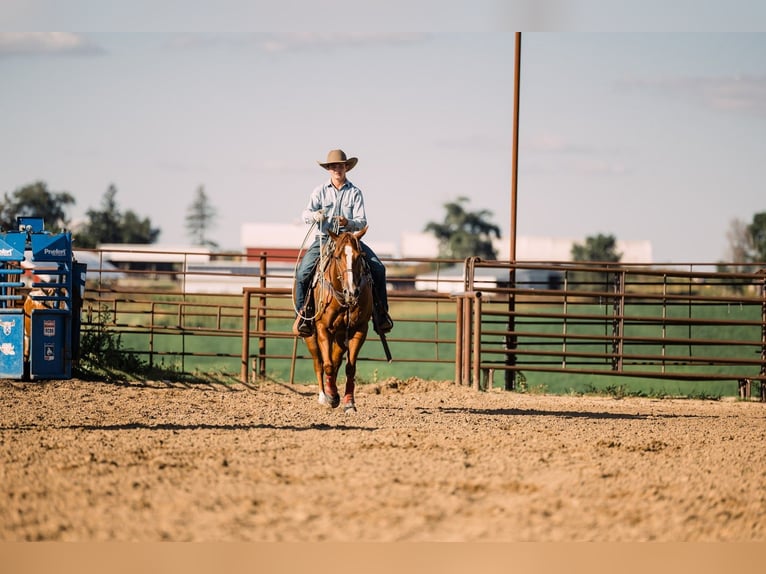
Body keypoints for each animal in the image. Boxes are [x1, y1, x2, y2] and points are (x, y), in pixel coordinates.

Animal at [299, 226, 373, 413]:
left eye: (359, 256)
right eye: (338, 257)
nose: (352, 292)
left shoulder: (359, 329)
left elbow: (350, 367)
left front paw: (348, 402)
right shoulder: (322, 328)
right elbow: (327, 365)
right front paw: (331, 397)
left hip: (340, 336)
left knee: (336, 360)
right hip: (310, 336)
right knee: (319, 362)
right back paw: (323, 396)